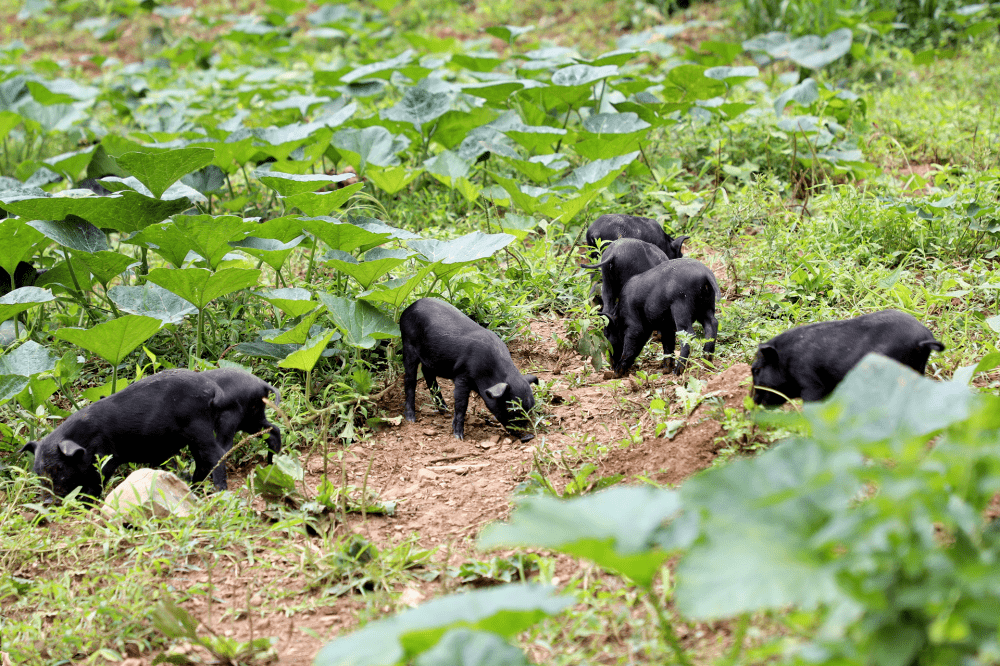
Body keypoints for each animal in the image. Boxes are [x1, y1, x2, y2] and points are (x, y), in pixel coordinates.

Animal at [20, 366, 286, 496]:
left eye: (57, 468)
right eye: (37, 470)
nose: (47, 500)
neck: (82, 441)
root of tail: (211, 389)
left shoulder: (105, 457)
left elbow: (97, 480)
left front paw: (88, 502)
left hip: (201, 427)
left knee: (215, 456)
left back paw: (217, 492)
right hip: (251, 418)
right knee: (273, 430)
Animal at [400, 296, 540, 440]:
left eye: (530, 408)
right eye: (510, 408)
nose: (528, 437)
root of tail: (409, 307)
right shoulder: (462, 375)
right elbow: (461, 404)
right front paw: (459, 437)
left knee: (427, 373)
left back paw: (445, 410)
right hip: (408, 343)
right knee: (410, 379)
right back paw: (411, 419)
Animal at [752, 308, 944, 404]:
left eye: (757, 369)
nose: (753, 400)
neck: (785, 361)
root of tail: (924, 338)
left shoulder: (810, 383)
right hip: (918, 368)